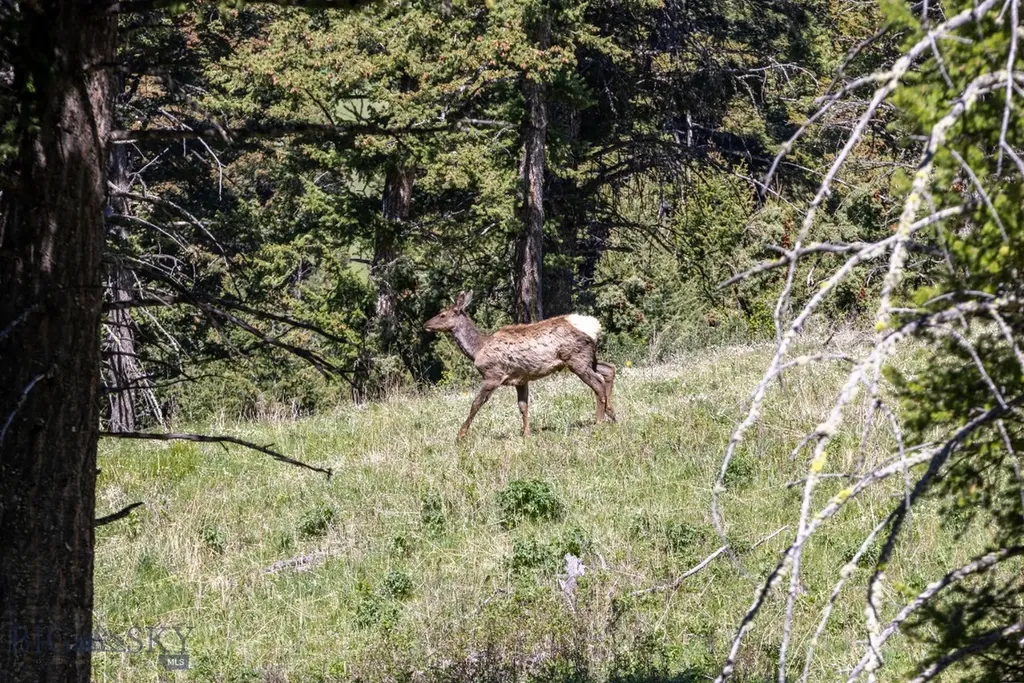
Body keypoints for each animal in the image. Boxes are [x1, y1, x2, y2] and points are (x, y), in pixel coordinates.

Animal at [423, 291, 617, 439]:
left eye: (442, 314)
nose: (426, 324)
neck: (477, 349)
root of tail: (594, 326)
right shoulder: (521, 379)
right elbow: (523, 406)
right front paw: (526, 433)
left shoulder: (493, 375)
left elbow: (476, 403)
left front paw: (460, 435)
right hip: (588, 358)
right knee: (609, 369)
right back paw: (612, 414)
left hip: (577, 359)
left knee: (597, 383)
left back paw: (599, 421)